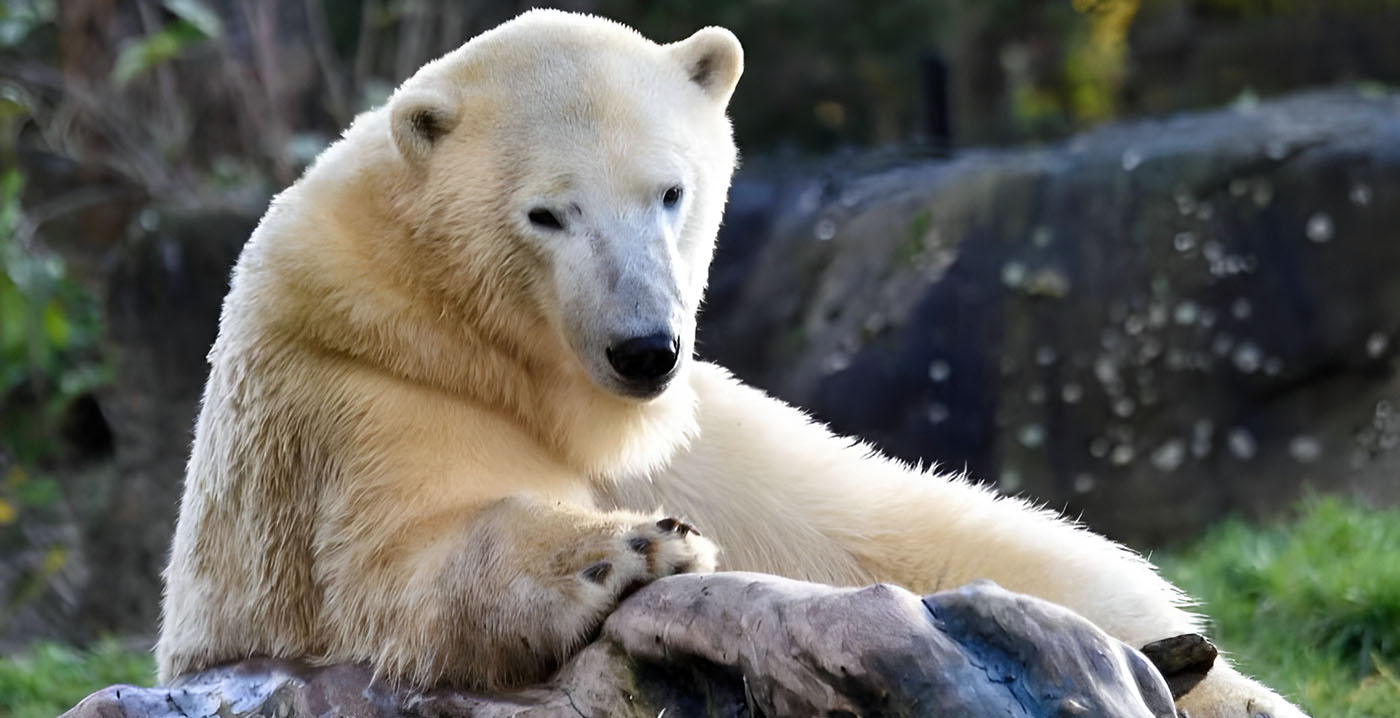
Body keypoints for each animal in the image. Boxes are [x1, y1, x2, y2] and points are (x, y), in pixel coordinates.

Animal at [158, 6, 1304, 716]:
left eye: (670, 191)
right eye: (546, 214)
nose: (644, 347)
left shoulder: (708, 433)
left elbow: (908, 534)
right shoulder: (352, 379)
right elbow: (403, 559)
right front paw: (627, 546)